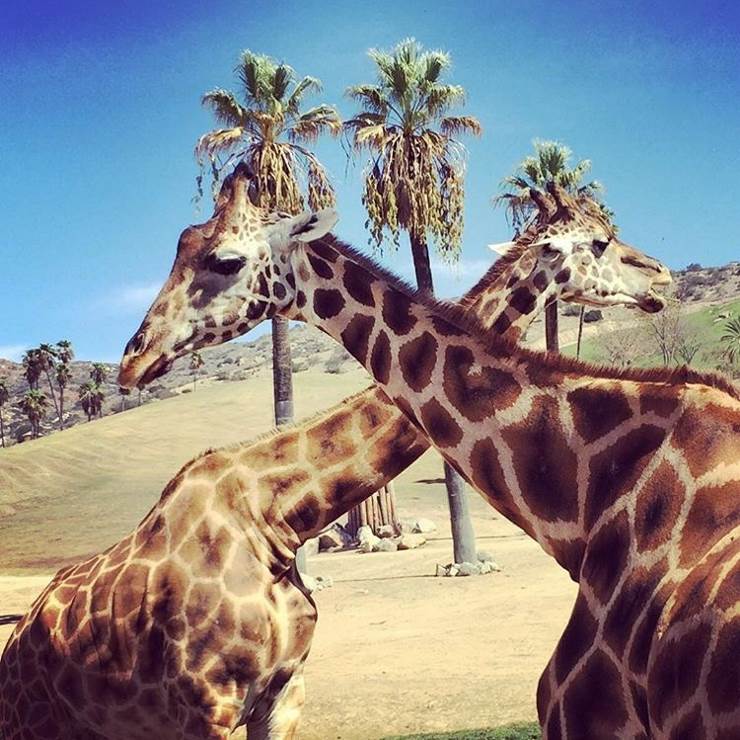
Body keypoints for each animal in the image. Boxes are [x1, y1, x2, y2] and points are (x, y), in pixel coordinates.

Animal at [0, 179, 674, 739]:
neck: (275, 517)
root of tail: (18, 641)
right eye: (601, 240)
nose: (662, 278)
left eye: (220, 259)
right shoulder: (204, 708)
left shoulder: (283, 694)